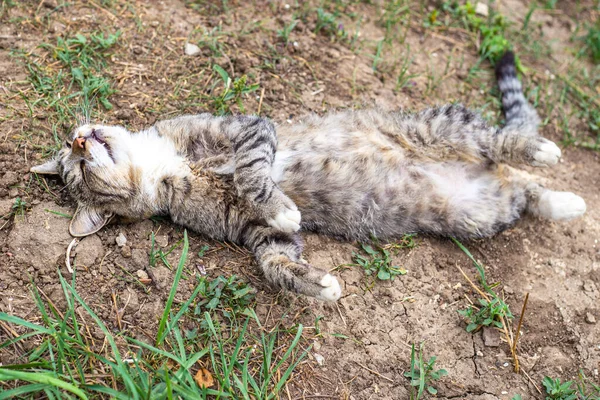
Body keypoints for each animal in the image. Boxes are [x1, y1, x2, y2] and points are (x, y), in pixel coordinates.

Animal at [29, 53, 584, 302]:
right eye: (78, 171)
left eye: (73, 154)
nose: (80, 142)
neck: (162, 165)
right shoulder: (253, 233)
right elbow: (276, 260)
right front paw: (322, 284)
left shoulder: (246, 128)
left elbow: (252, 171)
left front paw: (280, 202)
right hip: (477, 214)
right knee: (523, 190)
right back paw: (567, 204)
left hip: (436, 128)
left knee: (498, 141)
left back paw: (541, 149)